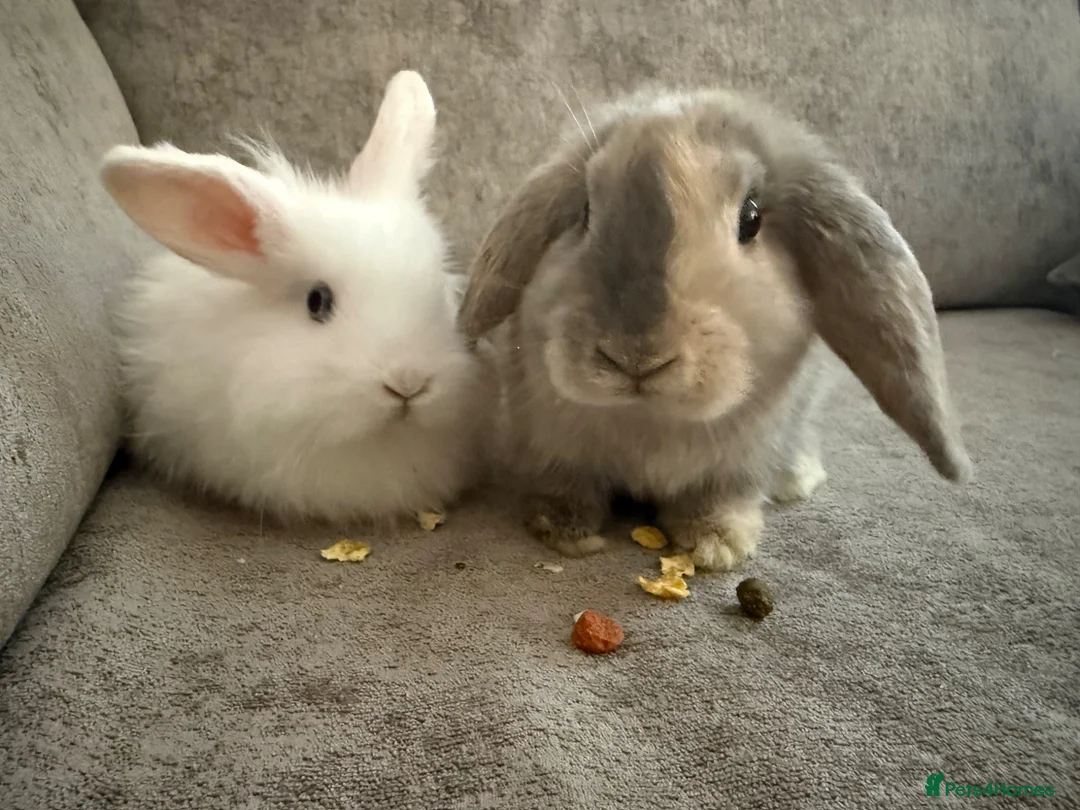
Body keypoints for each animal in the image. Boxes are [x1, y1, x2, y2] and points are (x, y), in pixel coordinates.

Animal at [457, 86, 972, 570]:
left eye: (752, 219)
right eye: (583, 212)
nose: (635, 357)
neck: (651, 419)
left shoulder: (740, 462)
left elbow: (719, 499)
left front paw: (717, 545)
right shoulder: (552, 445)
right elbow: (569, 486)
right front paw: (563, 531)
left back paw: (797, 478)